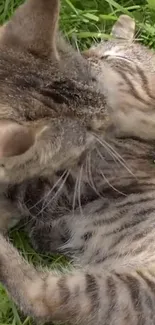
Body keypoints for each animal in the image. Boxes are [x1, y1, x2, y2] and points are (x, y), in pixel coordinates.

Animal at [0, 0, 155, 324]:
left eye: (112, 58)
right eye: (95, 49)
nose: (86, 56)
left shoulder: (59, 188)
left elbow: (25, 177)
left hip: (114, 292)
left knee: (41, 297)